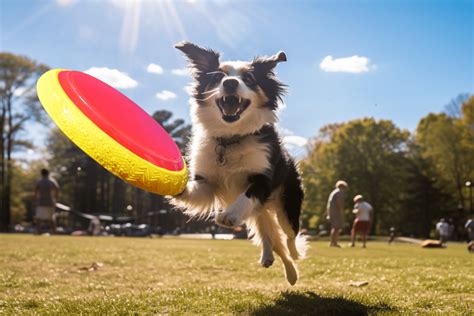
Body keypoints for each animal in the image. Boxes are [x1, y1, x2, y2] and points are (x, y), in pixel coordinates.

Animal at [171, 40, 308, 286]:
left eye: (250, 79)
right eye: (218, 77)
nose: (231, 82)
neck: (230, 138)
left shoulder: (263, 179)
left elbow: (247, 195)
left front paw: (228, 215)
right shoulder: (206, 183)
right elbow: (192, 189)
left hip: (287, 205)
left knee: (289, 236)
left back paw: (294, 257)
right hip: (258, 213)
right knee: (270, 237)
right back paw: (274, 261)